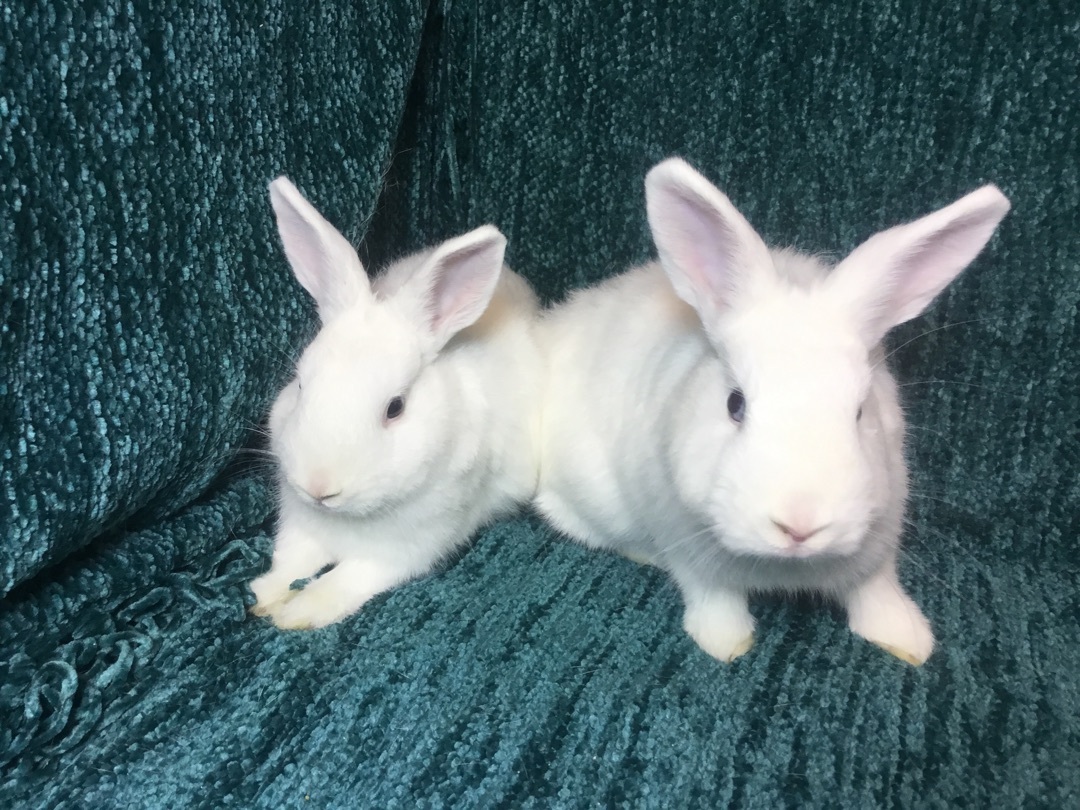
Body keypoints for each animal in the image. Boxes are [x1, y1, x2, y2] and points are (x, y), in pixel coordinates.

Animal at [249, 177, 543, 630]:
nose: (319, 488)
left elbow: (345, 580)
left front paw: (300, 611)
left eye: (395, 408)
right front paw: (266, 594)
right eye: (300, 384)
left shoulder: (403, 550)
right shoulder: (300, 523)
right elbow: (292, 559)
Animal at [534, 158, 1010, 665]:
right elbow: (713, 597)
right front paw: (727, 644)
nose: (799, 527)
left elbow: (877, 592)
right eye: (734, 404)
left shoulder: (877, 546)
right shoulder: (689, 547)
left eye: (861, 412)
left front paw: (907, 641)